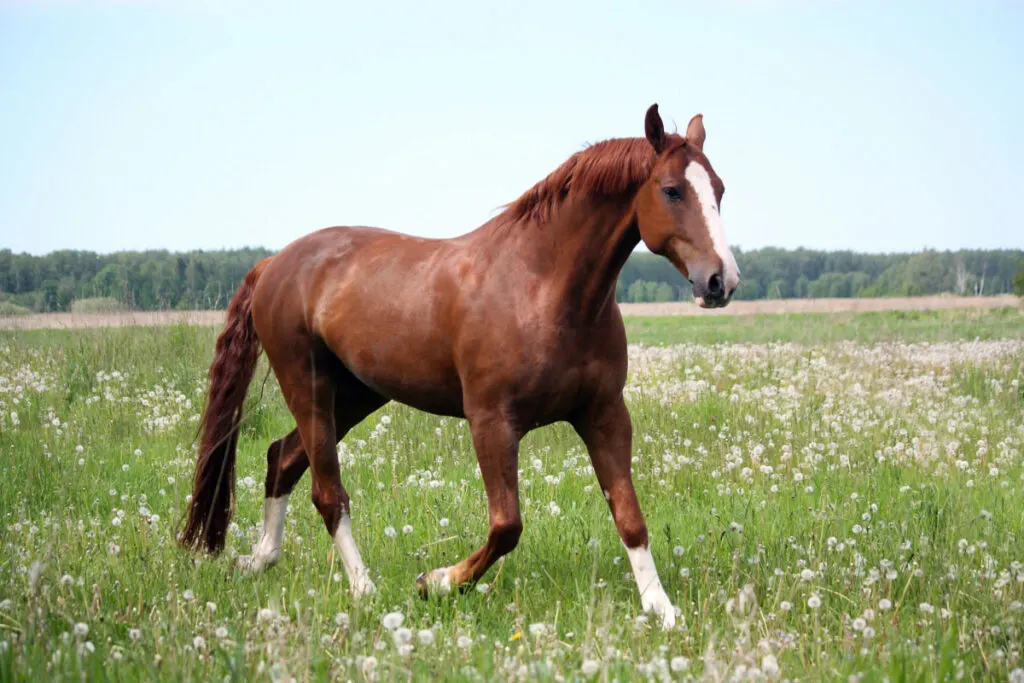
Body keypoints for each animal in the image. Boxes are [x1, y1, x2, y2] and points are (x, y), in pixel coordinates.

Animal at [182, 102, 737, 630]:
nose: (721, 281)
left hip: (357, 394)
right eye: (671, 190)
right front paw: (437, 582)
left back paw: (260, 560)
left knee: (282, 458)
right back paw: (363, 588)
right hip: (308, 385)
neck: (540, 287)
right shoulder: (491, 422)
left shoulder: (604, 415)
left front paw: (662, 611)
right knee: (327, 490)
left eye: (720, 189)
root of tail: (274, 263)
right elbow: (507, 525)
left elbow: (629, 516)